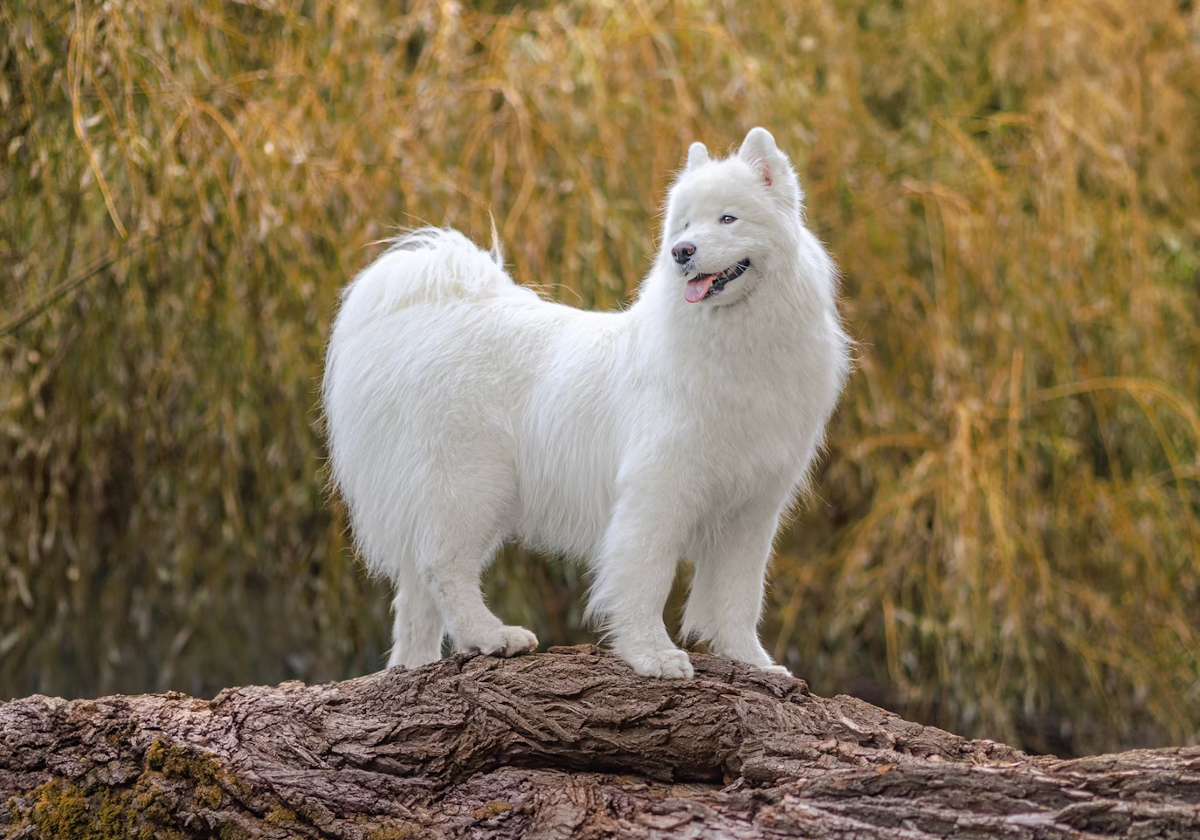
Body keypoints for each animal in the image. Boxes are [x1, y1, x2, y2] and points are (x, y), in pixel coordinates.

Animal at [326, 127, 854, 681]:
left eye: (727, 218)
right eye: (686, 224)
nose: (681, 251)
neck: (735, 343)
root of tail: (424, 315)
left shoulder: (752, 508)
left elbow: (738, 596)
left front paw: (752, 663)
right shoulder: (658, 489)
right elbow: (646, 577)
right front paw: (653, 654)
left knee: (415, 599)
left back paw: (413, 669)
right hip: (469, 485)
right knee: (443, 569)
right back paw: (493, 637)